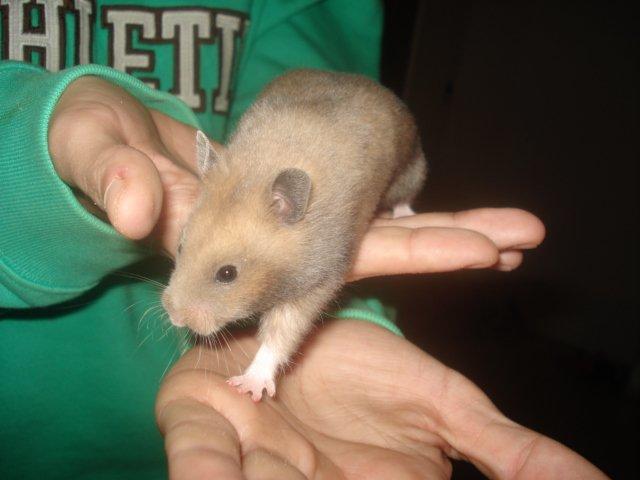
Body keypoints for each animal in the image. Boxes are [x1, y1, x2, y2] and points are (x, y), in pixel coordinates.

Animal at [162, 69, 427, 401]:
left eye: (227, 273)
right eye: (180, 246)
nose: (174, 317)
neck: (259, 171)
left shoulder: (318, 277)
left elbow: (282, 333)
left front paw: (249, 386)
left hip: (409, 167)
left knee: (406, 193)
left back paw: (405, 214)